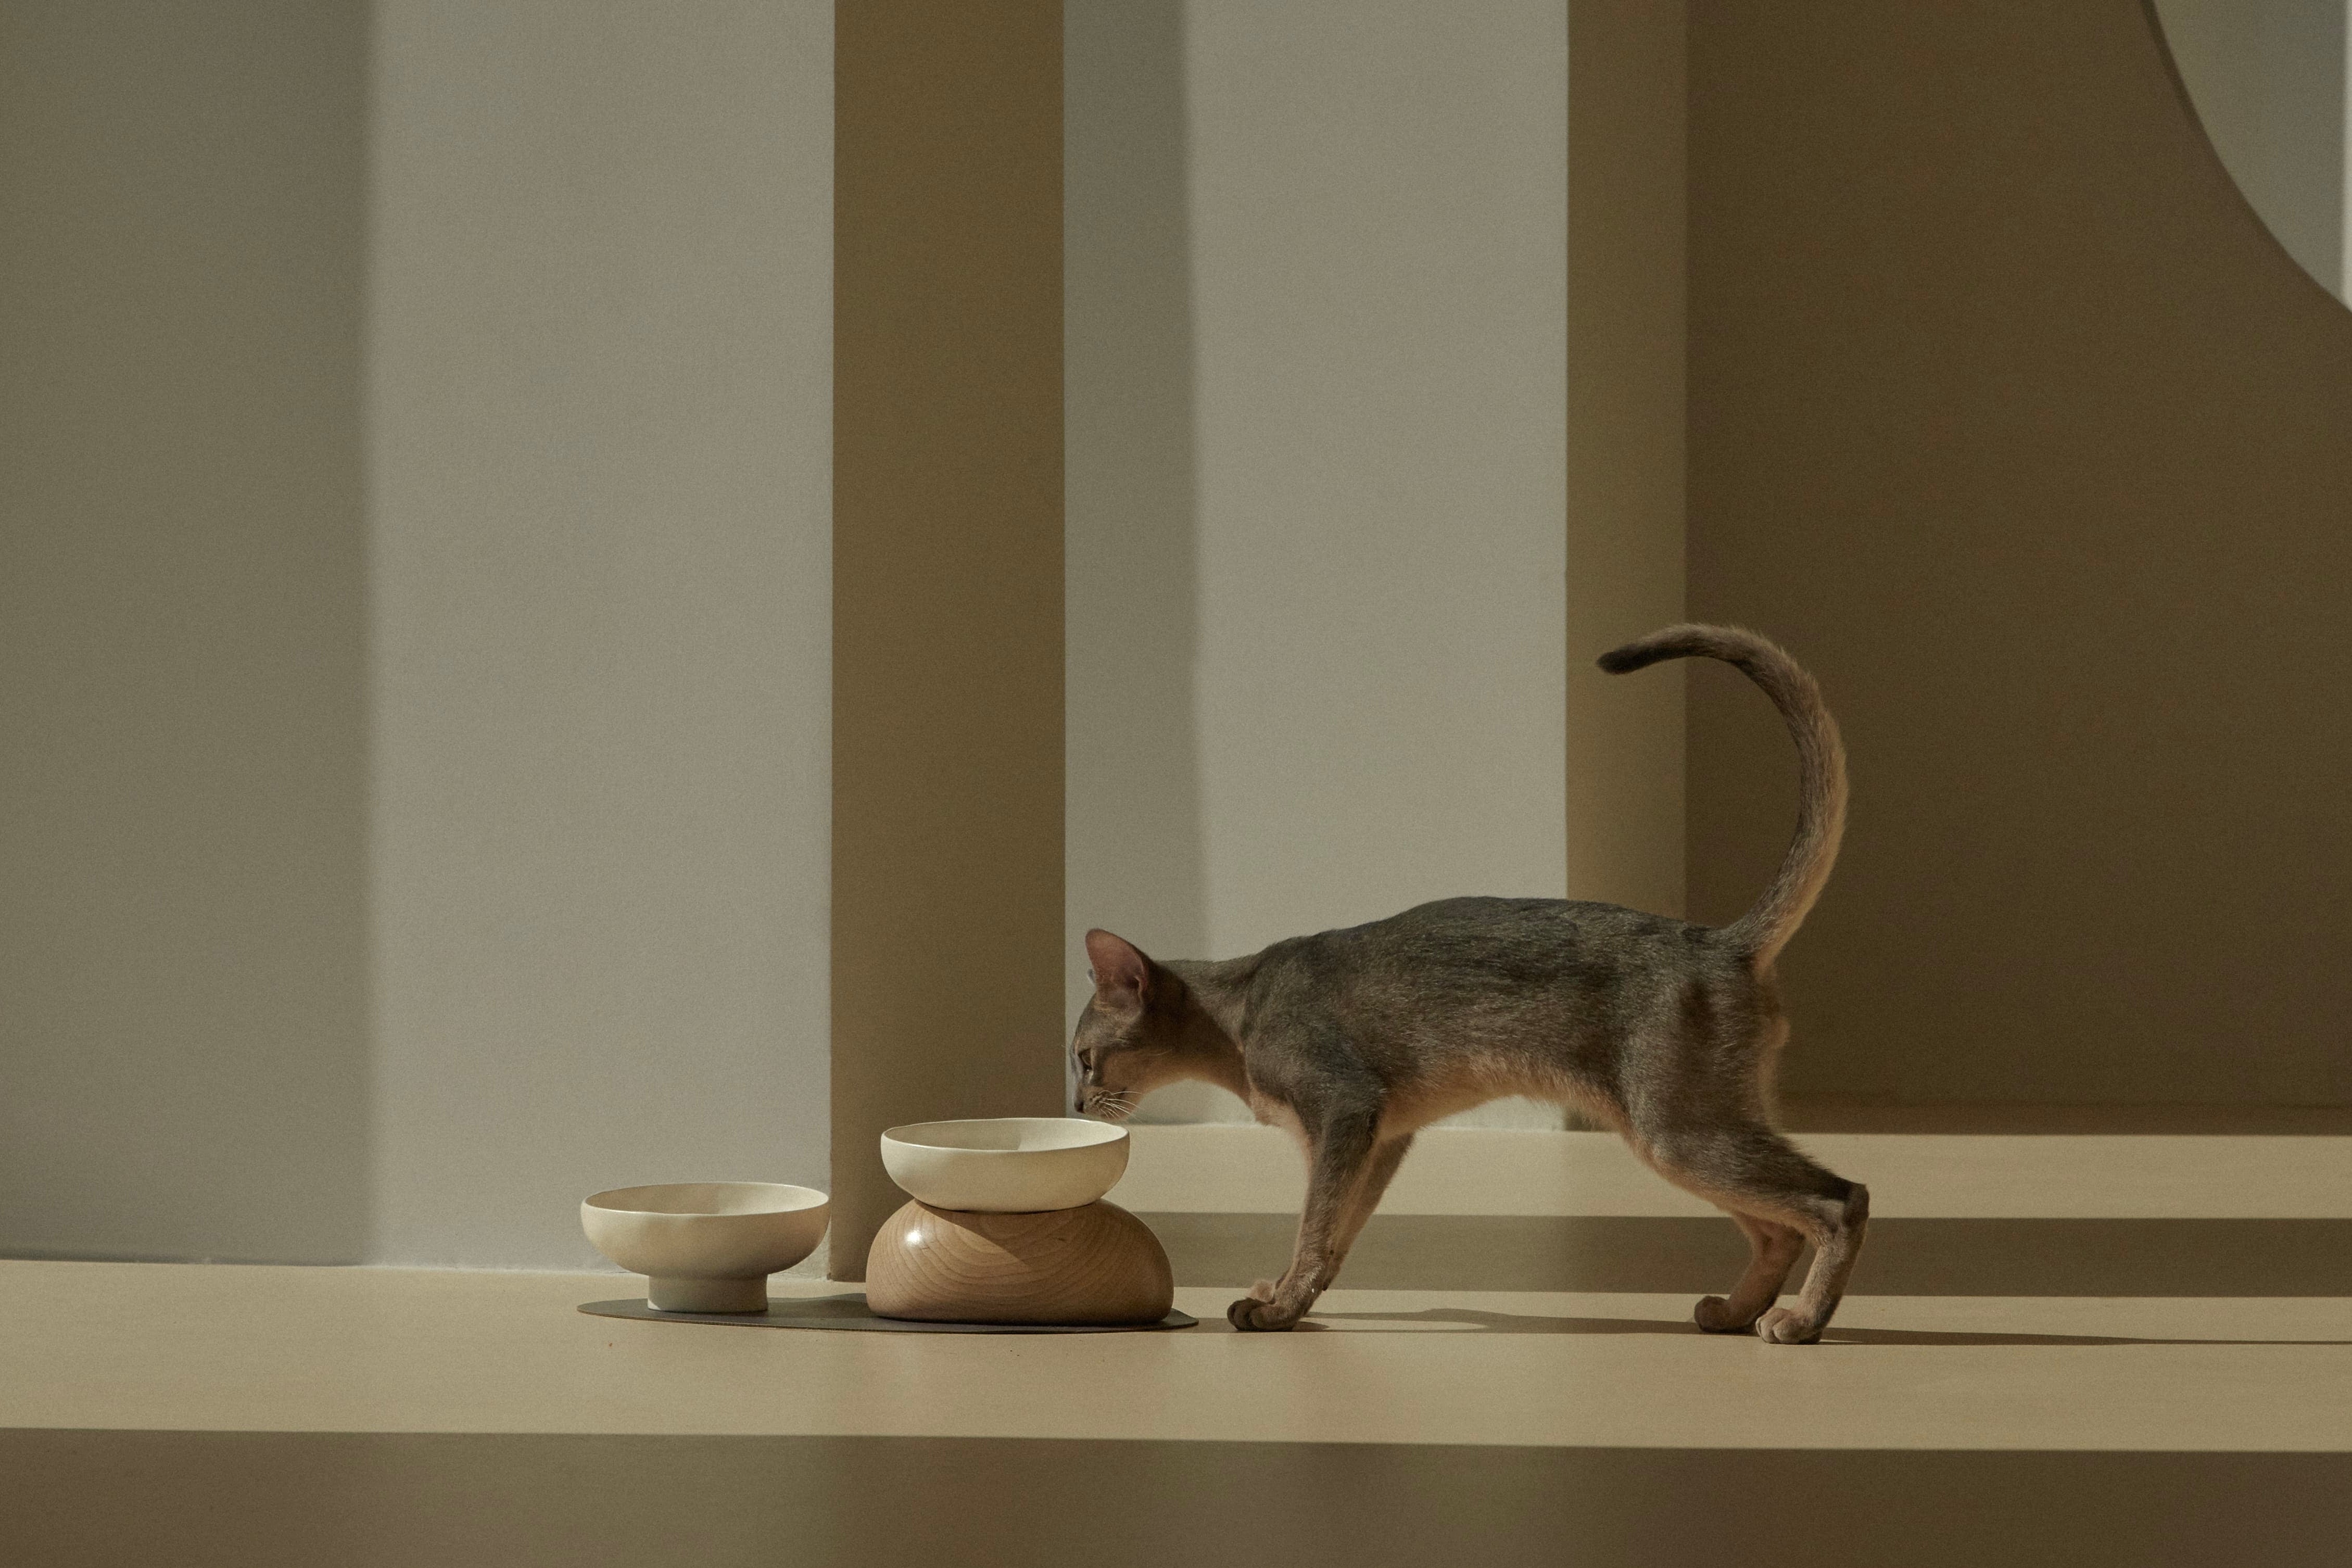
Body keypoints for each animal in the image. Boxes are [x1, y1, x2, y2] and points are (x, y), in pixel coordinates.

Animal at [1077, 625, 1863, 1354]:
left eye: (1083, 1058)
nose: (1078, 1104)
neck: (1241, 1013)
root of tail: (1720, 941)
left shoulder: (1343, 1111)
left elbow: (1313, 1223)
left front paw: (1279, 1308)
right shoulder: (1383, 1138)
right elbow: (1334, 1236)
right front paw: (1290, 1296)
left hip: (1676, 1131)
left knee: (1840, 1200)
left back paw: (1801, 1321)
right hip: (1687, 1131)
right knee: (1780, 1231)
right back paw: (1737, 1312)